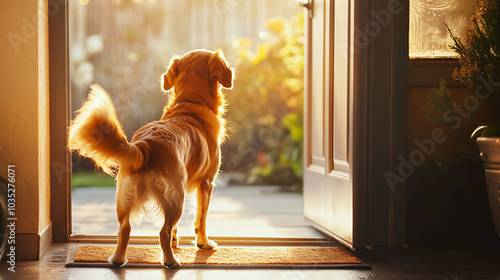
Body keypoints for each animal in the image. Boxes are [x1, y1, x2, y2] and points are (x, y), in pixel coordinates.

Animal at [67, 49, 233, 268]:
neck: (191, 103)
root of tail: (145, 145)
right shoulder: (206, 183)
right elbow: (201, 220)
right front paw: (204, 244)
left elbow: (178, 228)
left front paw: (176, 242)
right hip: (176, 197)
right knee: (162, 231)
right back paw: (171, 261)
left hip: (125, 197)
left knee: (124, 230)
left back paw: (118, 259)